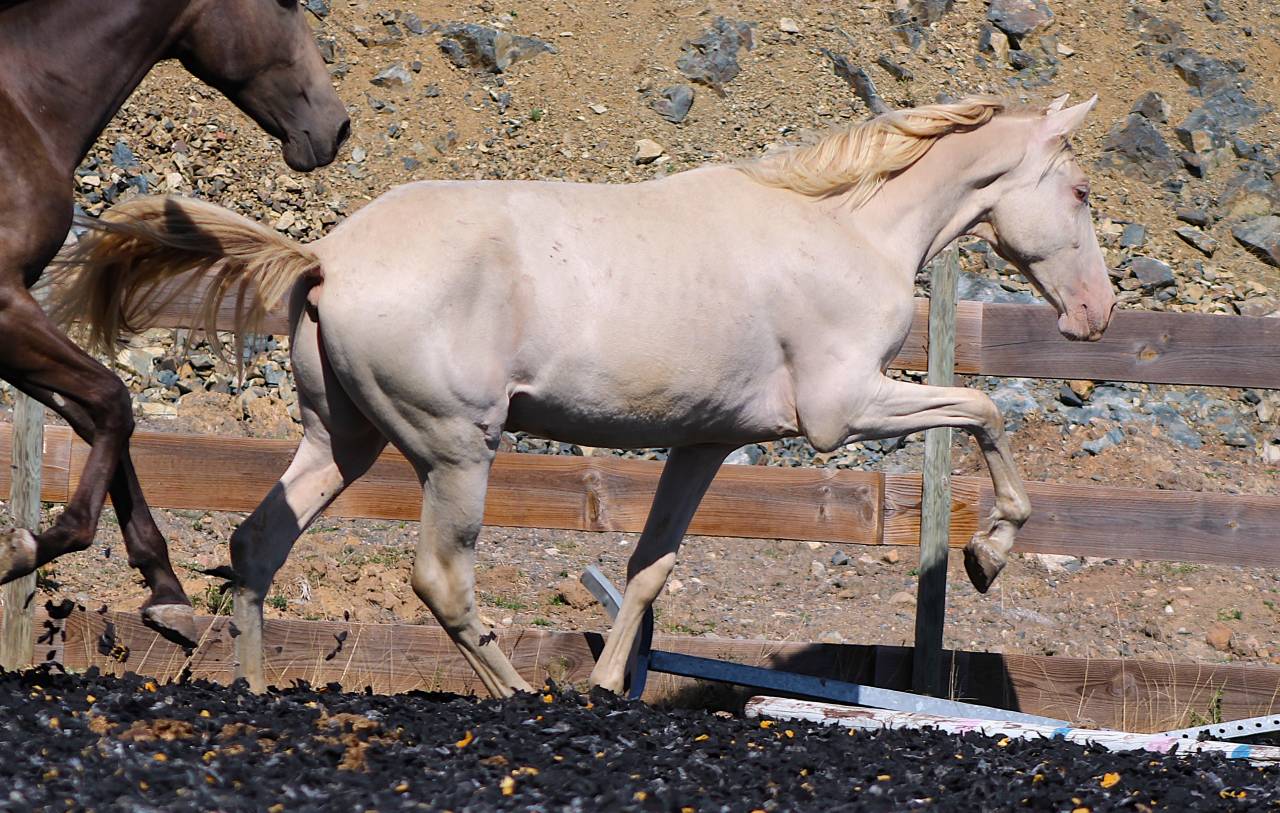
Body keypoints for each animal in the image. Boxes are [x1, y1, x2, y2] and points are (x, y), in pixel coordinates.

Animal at [0, 0, 349, 646]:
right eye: (287, 3)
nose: (337, 127)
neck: (26, 105)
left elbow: (94, 416)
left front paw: (167, 592)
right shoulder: (6, 305)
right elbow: (112, 400)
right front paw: (31, 546)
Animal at [52, 94, 1114, 694]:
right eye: (1081, 193)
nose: (1095, 316)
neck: (848, 227)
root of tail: (327, 256)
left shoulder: (707, 443)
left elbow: (649, 568)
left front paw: (608, 686)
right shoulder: (841, 411)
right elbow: (986, 412)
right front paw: (988, 553)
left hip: (341, 439)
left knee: (256, 543)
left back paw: (253, 690)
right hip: (455, 449)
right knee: (440, 580)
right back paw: (517, 695)